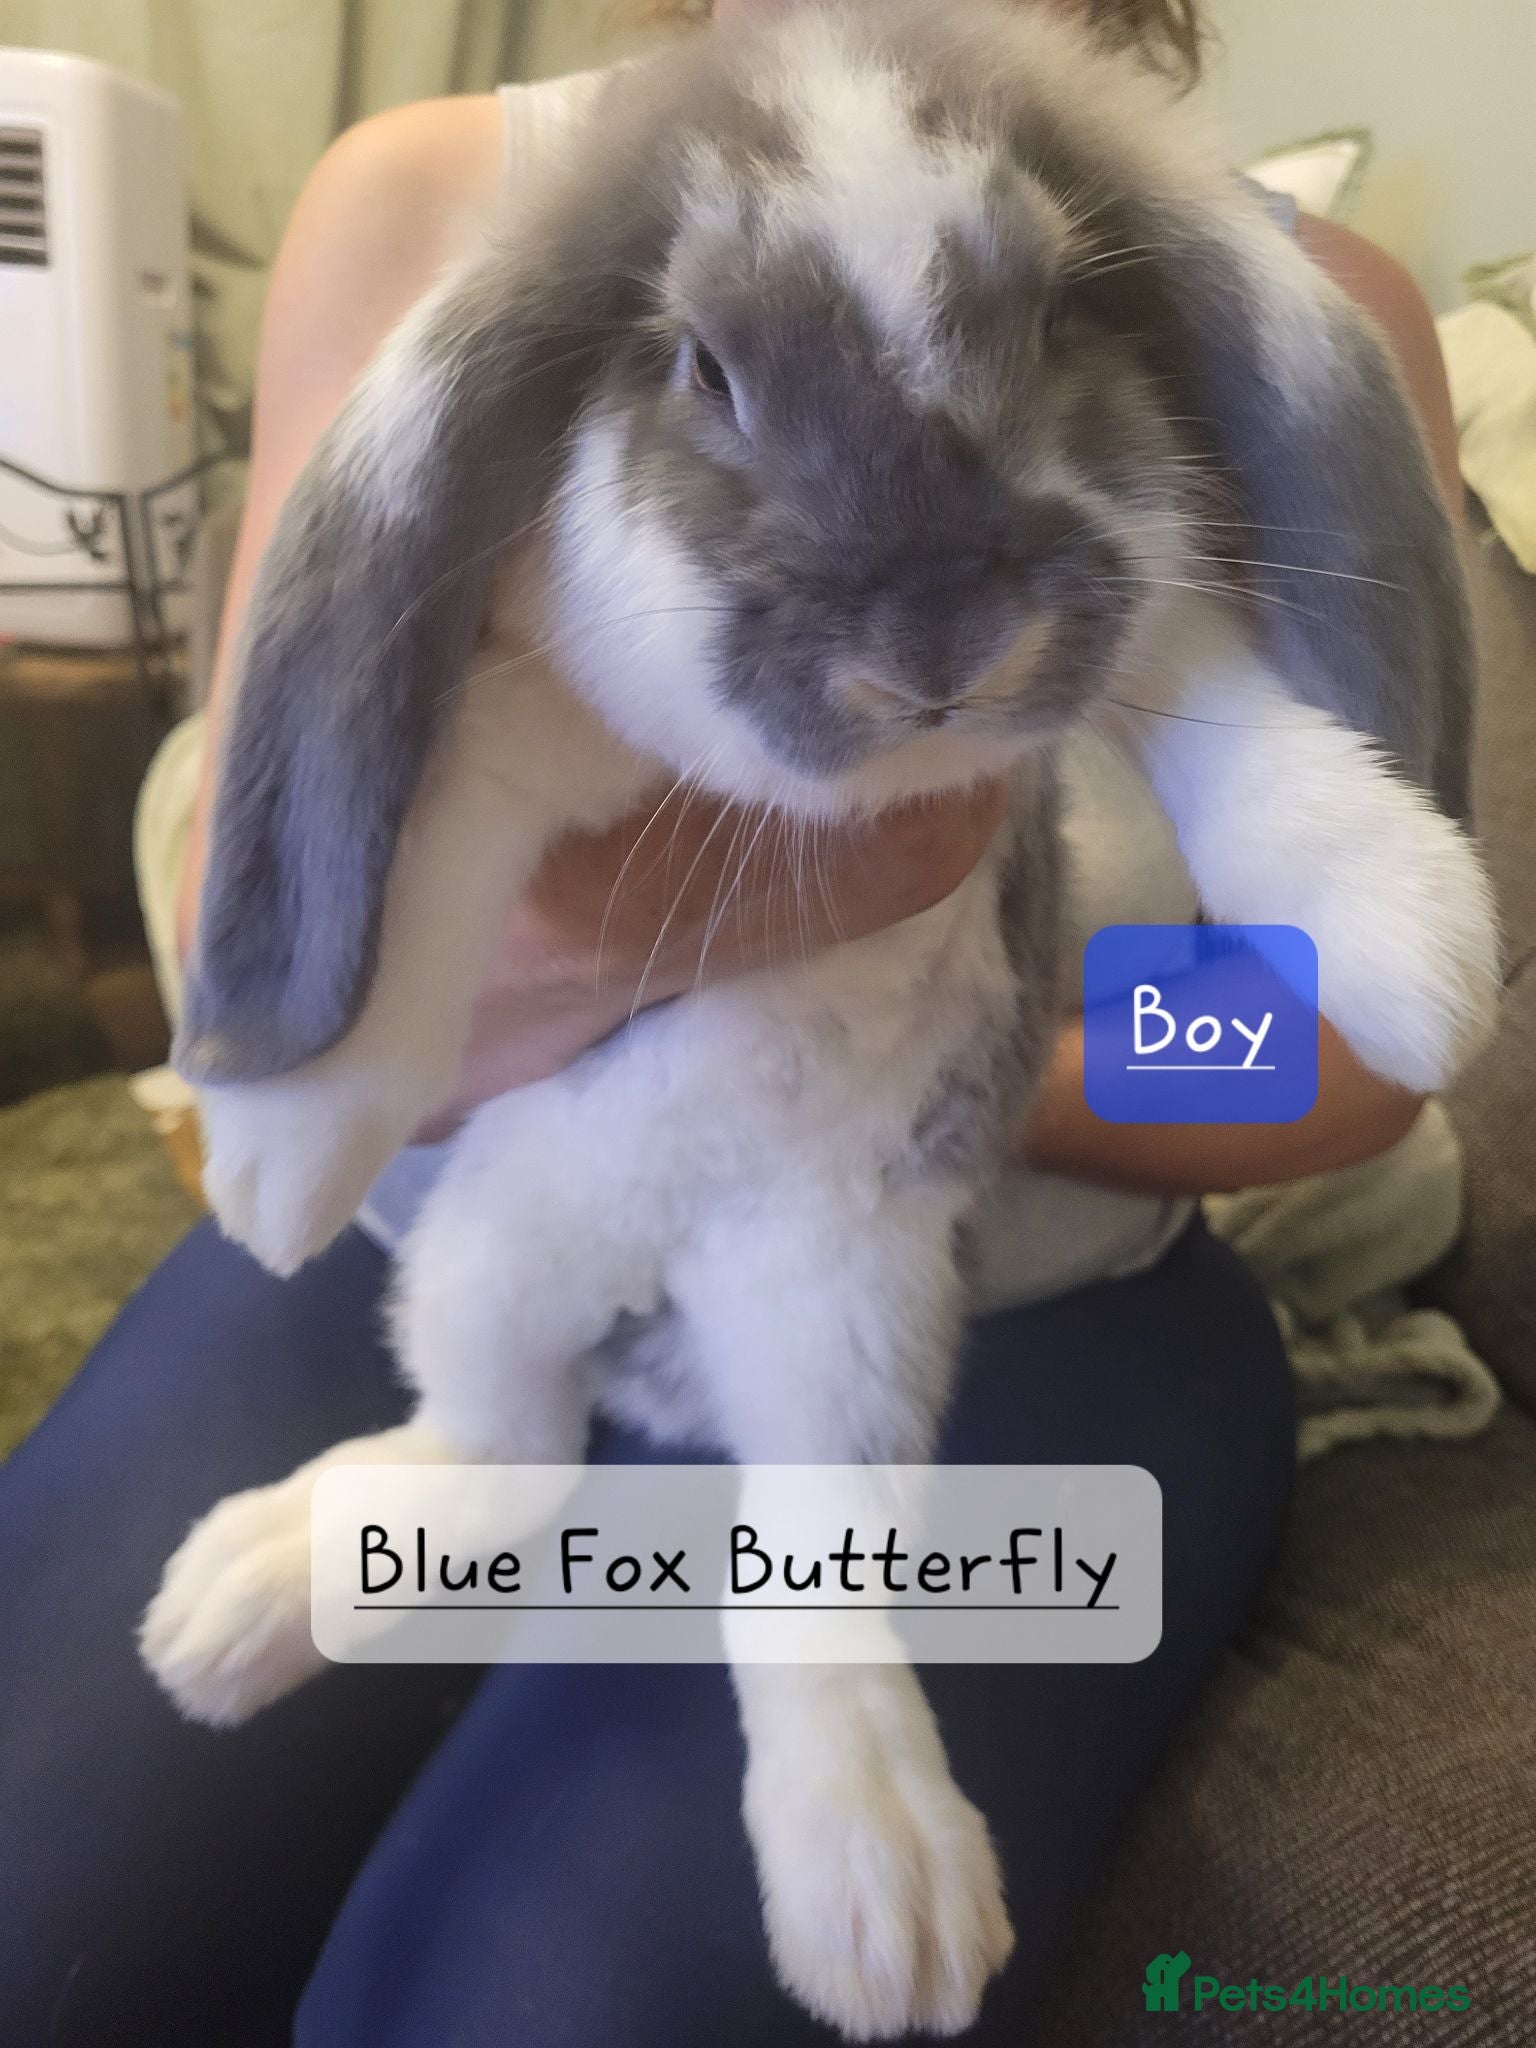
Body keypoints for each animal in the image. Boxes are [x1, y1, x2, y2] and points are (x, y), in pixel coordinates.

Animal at [140, 1, 1498, 2036]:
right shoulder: (529, 714)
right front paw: (281, 1155)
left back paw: (885, 1897)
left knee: (798, 1593)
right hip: (492, 1261)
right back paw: (245, 1602)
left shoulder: (1145, 615)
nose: (938, 644)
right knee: (502, 1449)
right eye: (700, 364)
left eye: (1057, 315)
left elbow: (1232, 721)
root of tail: (667, 1303)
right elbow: (440, 849)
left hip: (848, 1309)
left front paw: (1418, 942)